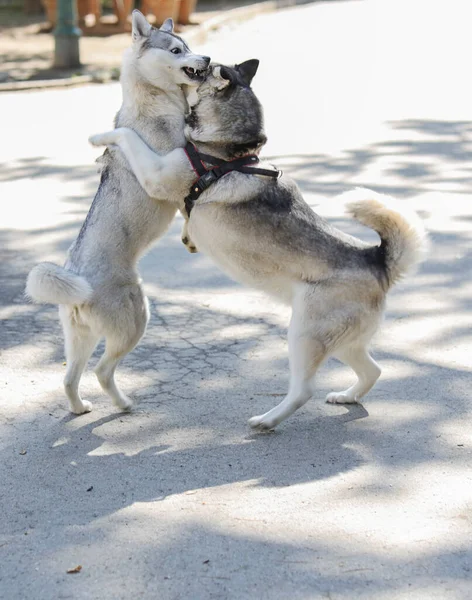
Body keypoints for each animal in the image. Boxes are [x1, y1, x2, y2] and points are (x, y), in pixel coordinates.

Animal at [25, 10, 210, 412]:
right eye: (176, 50)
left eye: (188, 45)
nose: (206, 59)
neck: (156, 100)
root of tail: (78, 283)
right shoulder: (172, 174)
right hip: (138, 319)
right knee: (102, 371)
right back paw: (124, 404)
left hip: (80, 339)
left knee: (69, 378)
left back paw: (80, 408)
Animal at [89, 62, 428, 432]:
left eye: (206, 68)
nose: (201, 60)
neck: (226, 149)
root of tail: (376, 260)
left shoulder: (156, 173)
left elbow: (128, 136)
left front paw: (100, 137)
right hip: (340, 342)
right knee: (373, 370)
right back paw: (347, 396)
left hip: (303, 335)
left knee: (303, 390)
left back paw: (266, 421)